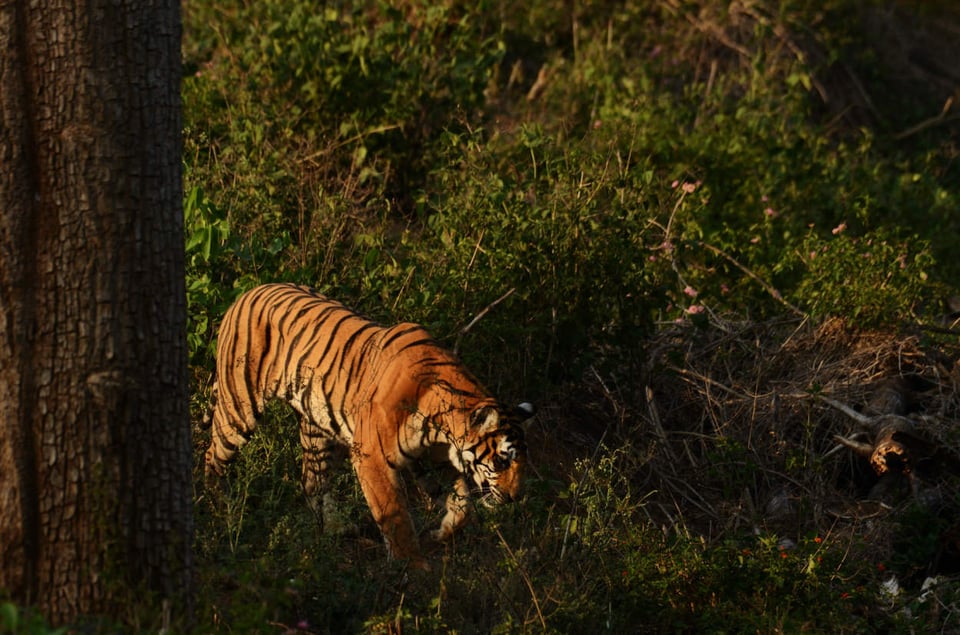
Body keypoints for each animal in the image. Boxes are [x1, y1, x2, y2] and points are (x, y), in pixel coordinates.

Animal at [203, 284, 536, 572]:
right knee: (213, 456)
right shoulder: (372, 457)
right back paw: (221, 512)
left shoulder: (431, 461)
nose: (515, 497)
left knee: (311, 481)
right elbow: (395, 516)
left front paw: (440, 535)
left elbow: (461, 506)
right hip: (239, 407)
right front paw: (412, 566)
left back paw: (335, 529)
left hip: (317, 429)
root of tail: (247, 293)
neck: (443, 428)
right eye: (502, 460)